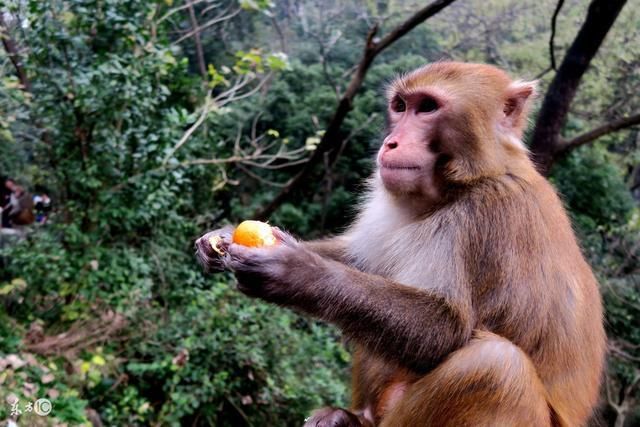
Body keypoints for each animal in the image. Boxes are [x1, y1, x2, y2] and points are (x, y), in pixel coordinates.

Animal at [195, 61, 604, 426]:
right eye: (401, 106)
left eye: (428, 108)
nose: (390, 143)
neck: (463, 183)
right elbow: (360, 264)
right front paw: (222, 238)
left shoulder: (488, 216)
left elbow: (445, 329)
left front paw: (296, 273)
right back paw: (350, 418)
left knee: (495, 365)